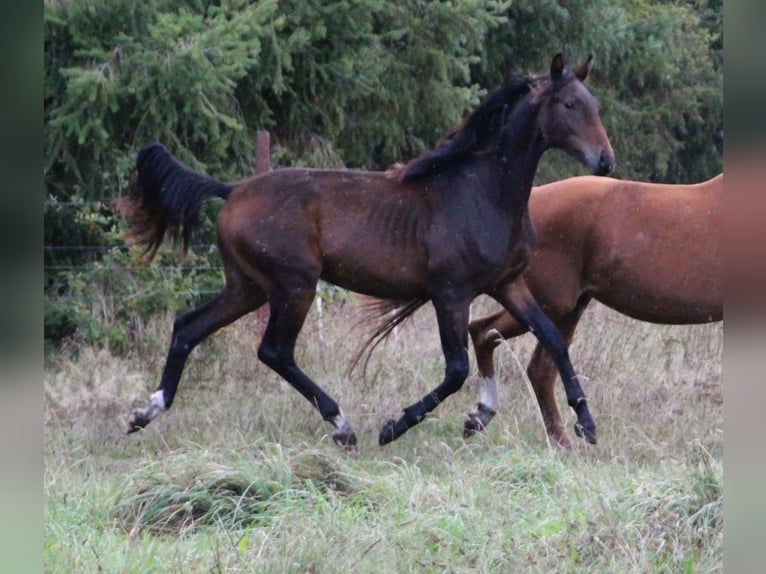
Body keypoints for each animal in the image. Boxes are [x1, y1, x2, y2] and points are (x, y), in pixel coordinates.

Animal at [120, 55, 616, 450]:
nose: (605, 160)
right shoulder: (450, 293)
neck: (483, 192)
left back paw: (146, 412)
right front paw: (396, 426)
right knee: (274, 351)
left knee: (189, 326)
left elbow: (552, 338)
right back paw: (342, 425)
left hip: (249, 287)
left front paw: (586, 423)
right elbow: (456, 369)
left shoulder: (508, 284)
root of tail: (233, 190)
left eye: (594, 104)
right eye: (569, 105)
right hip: (293, 284)